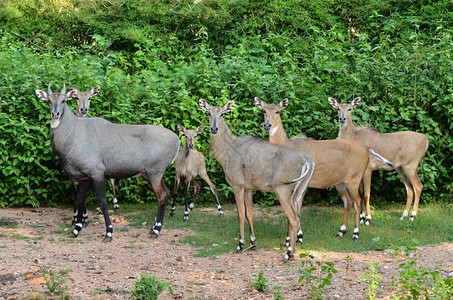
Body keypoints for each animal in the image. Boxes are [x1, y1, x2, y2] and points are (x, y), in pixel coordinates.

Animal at [35, 82, 180, 241]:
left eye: (63, 100)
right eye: (48, 100)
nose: (55, 114)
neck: (74, 134)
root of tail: (178, 140)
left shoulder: (97, 173)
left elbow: (102, 201)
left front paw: (109, 232)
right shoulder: (81, 178)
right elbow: (79, 201)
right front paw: (76, 228)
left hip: (155, 173)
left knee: (162, 196)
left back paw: (156, 230)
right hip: (149, 174)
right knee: (167, 192)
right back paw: (153, 227)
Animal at [199, 99, 314, 258]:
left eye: (222, 114)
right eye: (209, 113)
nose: (214, 129)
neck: (227, 153)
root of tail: (309, 161)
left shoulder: (237, 185)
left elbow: (240, 214)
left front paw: (240, 245)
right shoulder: (248, 188)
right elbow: (249, 214)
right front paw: (253, 242)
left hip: (283, 189)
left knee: (293, 218)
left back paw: (289, 253)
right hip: (299, 191)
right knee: (296, 216)